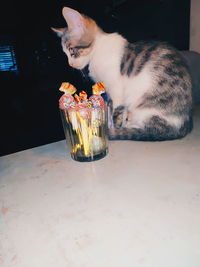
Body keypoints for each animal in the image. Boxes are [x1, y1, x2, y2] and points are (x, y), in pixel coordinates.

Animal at [52, 6, 193, 141]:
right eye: (65, 53)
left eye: (72, 50)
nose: (71, 64)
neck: (97, 50)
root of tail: (184, 125)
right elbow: (110, 109)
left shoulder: (116, 89)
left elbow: (116, 112)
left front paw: (112, 128)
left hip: (145, 106)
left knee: (155, 129)